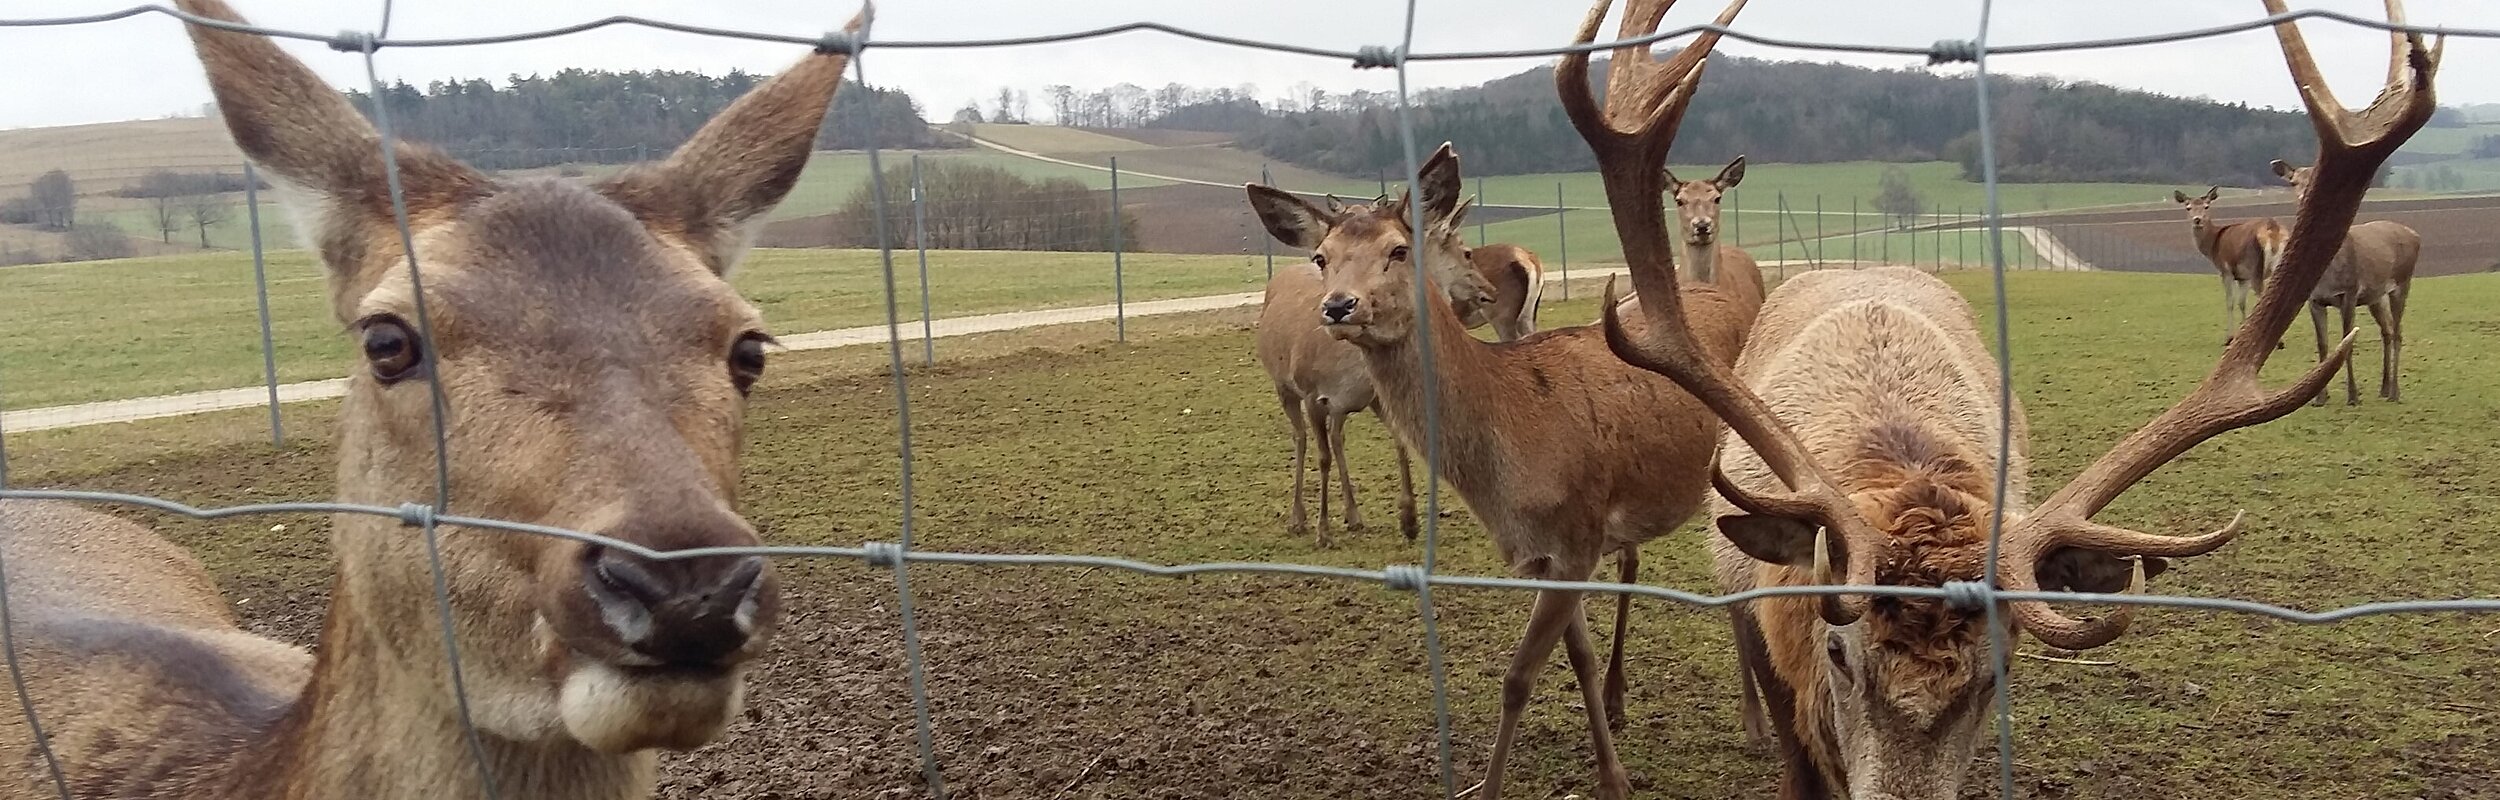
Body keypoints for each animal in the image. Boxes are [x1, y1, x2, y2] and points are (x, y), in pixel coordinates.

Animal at [1250, 192, 1500, 545]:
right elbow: (1322, 457)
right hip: (1283, 386)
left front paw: (1409, 519)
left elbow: (1400, 441)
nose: (1490, 292)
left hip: (1339, 407)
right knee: (1300, 438)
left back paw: (1353, 515)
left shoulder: (1375, 397)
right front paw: (1323, 531)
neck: (1349, 367)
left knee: (1337, 437)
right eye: (1466, 252)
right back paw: (1298, 518)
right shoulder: (1313, 393)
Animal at [2170, 188, 2290, 352]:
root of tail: (2273, 229)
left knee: (2263, 296)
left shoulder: (2225, 270)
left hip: (2255, 264)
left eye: (2206, 206)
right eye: (2188, 207)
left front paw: (2229, 338)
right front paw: (2243, 333)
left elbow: (2230, 302)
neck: (2212, 245)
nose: (2197, 219)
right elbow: (2242, 303)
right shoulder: (2243, 277)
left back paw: (2278, 342)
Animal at [2270, 157, 2420, 405]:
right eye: (2293, 182)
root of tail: (2416, 235)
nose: (2305, 198)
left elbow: (2346, 342)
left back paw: (2395, 392)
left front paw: (2353, 395)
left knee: (2398, 332)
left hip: (2402, 282)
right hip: (2375, 296)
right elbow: (2322, 345)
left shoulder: (2348, 292)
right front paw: (2319, 398)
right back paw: (2383, 388)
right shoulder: (2314, 300)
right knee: (2387, 330)